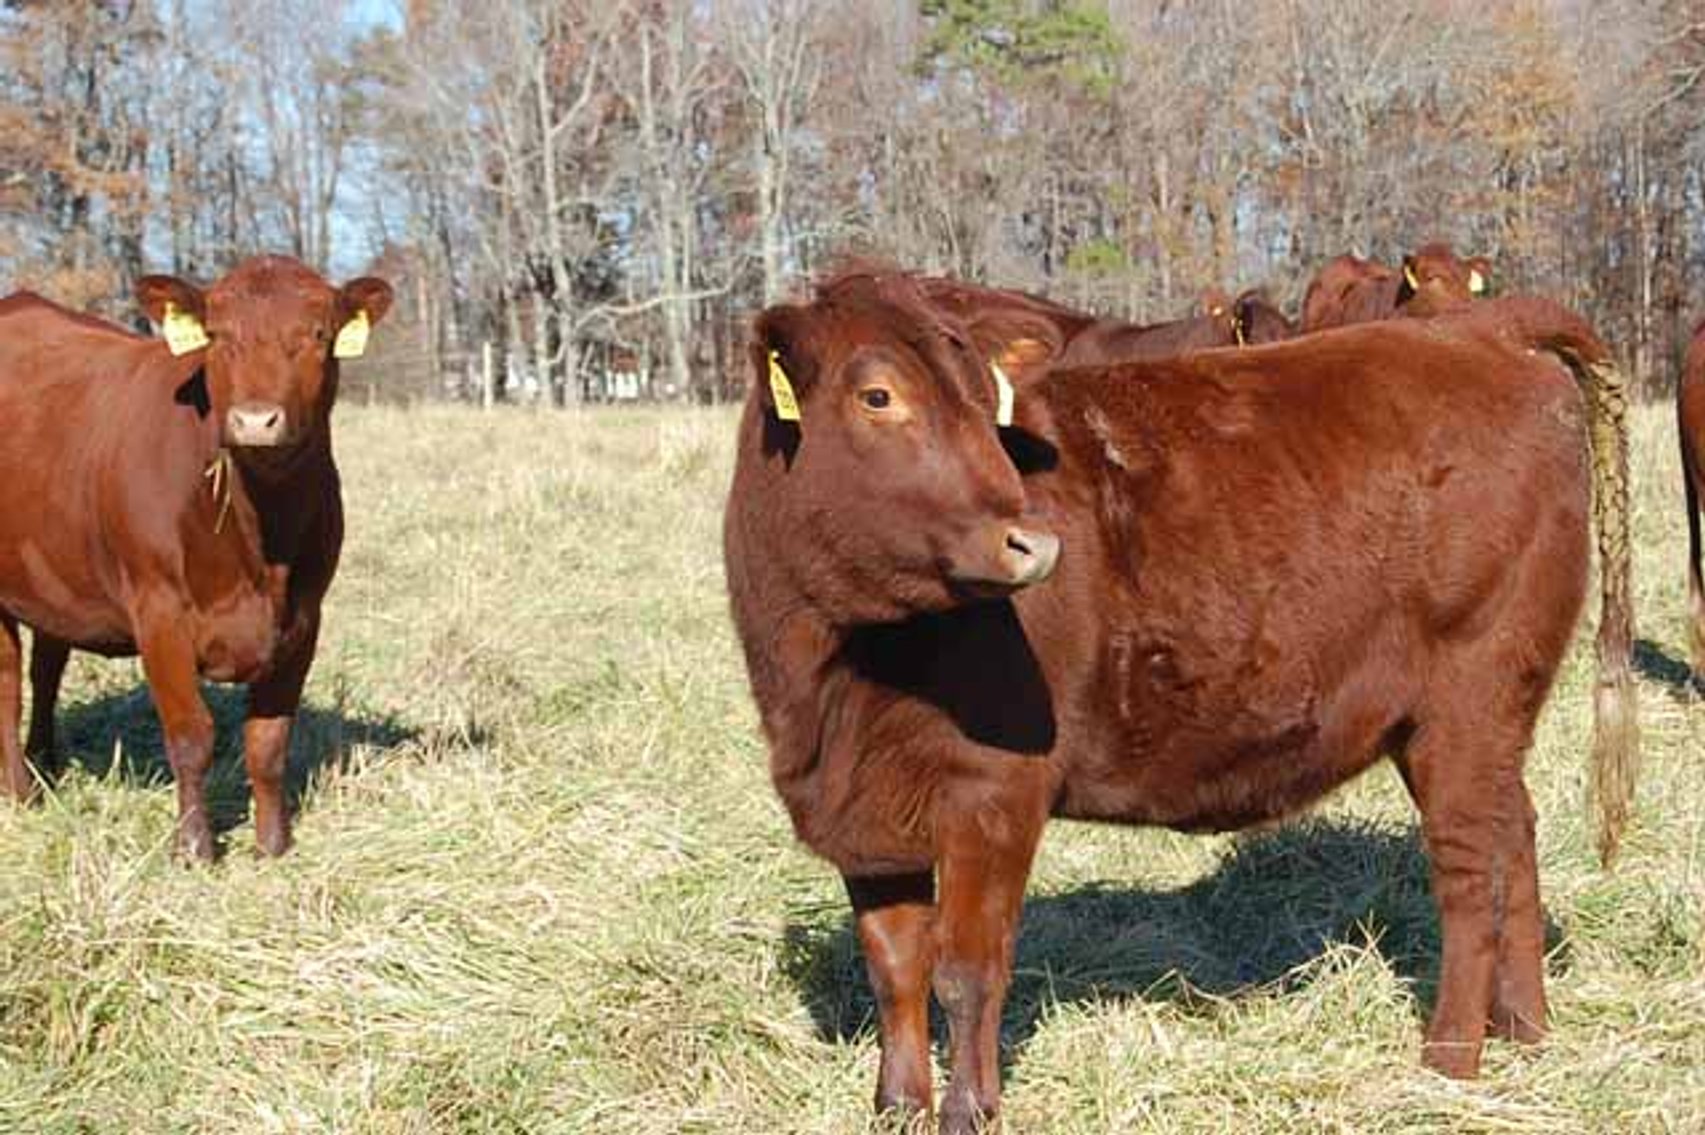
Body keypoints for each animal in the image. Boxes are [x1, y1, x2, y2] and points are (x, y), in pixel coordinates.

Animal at [0, 256, 392, 860]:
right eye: (218, 335)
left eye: (318, 334)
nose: (256, 420)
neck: (262, 536)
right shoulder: (158, 611)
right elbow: (191, 736)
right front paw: (194, 847)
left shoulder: (304, 618)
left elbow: (268, 741)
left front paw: (273, 844)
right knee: (7, 684)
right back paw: (22, 792)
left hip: (52, 572)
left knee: (46, 666)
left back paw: (46, 760)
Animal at [723, 269, 1635, 1133]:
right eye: (878, 395)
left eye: (989, 405)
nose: (1032, 542)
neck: (836, 684)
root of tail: (1481, 327)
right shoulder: (862, 812)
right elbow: (894, 966)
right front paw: (895, 1105)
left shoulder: (995, 793)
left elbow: (965, 970)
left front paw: (967, 1110)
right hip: (1466, 716)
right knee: (1513, 831)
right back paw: (1523, 1028)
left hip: (1469, 693)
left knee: (1467, 864)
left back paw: (1447, 1062)